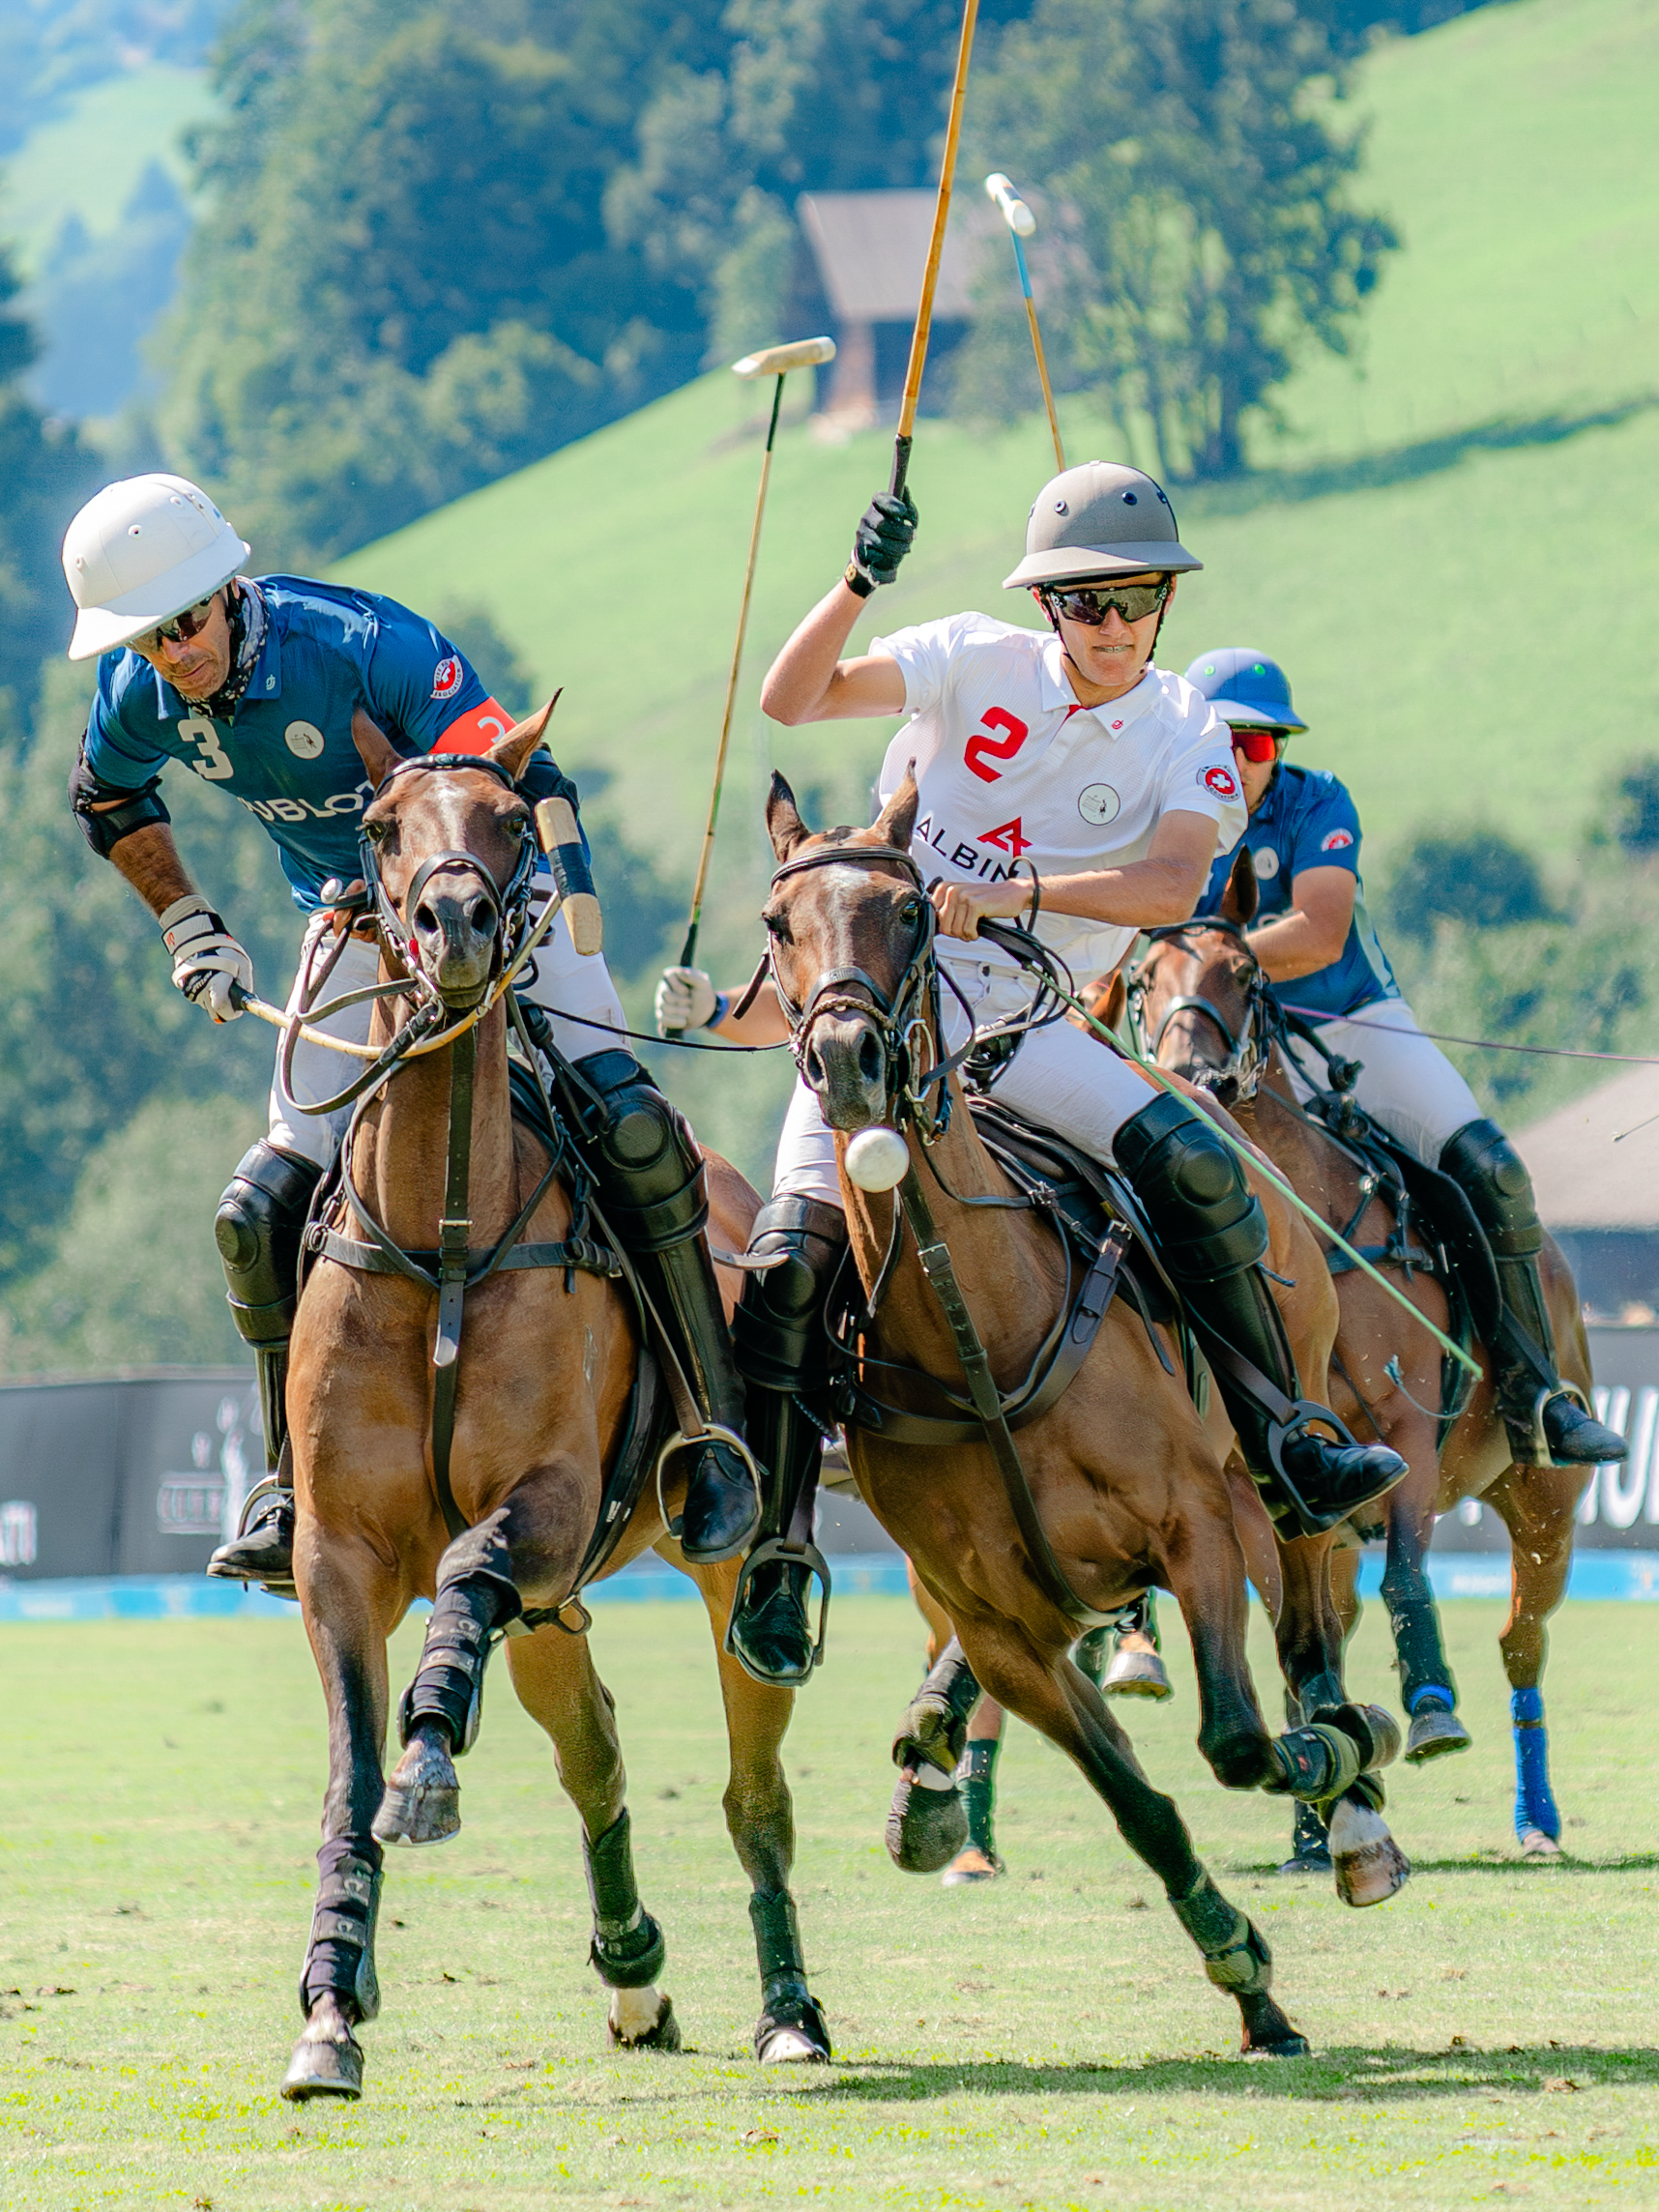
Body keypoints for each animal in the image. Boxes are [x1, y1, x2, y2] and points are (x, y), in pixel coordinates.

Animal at [277, 708, 825, 2101]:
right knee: (596, 1755)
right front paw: (330, 2006)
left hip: (718, 1568)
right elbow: (347, 1772)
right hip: (555, 1610)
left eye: (515, 823)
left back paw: (789, 2008)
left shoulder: (554, 1500)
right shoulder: (334, 1551)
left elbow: (462, 1575)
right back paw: (633, 1970)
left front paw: (430, 1762)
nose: (458, 922)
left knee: (754, 1792)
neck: (445, 1235)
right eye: (378, 828)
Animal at [1115, 848, 1592, 1860]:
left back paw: (1533, 1818)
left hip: (1545, 1503)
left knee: (1520, 1640)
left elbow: (1408, 1572)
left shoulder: (1404, 1428)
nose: (1192, 1079)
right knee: (1340, 1618)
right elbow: (1300, 1638)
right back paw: (1322, 1819)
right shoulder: (1259, 1486)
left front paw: (1432, 1704)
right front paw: (1320, 1792)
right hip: (1344, 1528)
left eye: (1247, 975)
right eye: (1142, 980)